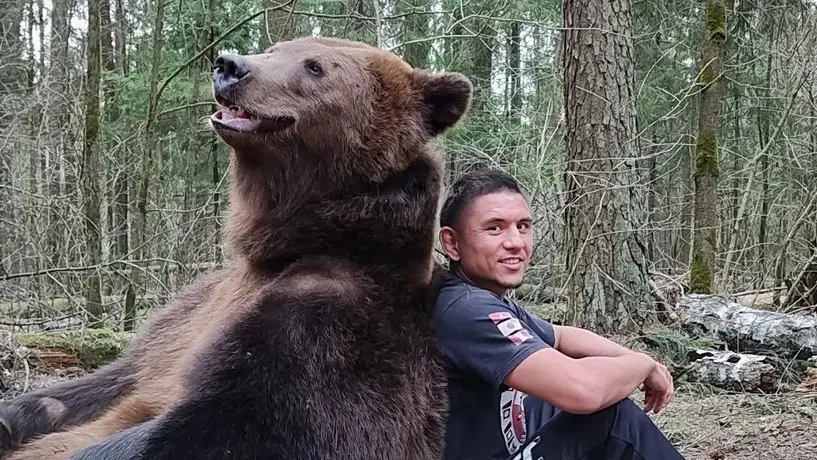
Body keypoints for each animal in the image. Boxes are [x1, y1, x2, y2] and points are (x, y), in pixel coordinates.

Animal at [0, 35, 473, 459]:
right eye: (275, 47)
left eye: (316, 66)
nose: (229, 64)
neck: (282, 245)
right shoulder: (187, 316)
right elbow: (100, 383)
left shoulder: (334, 328)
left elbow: (231, 421)